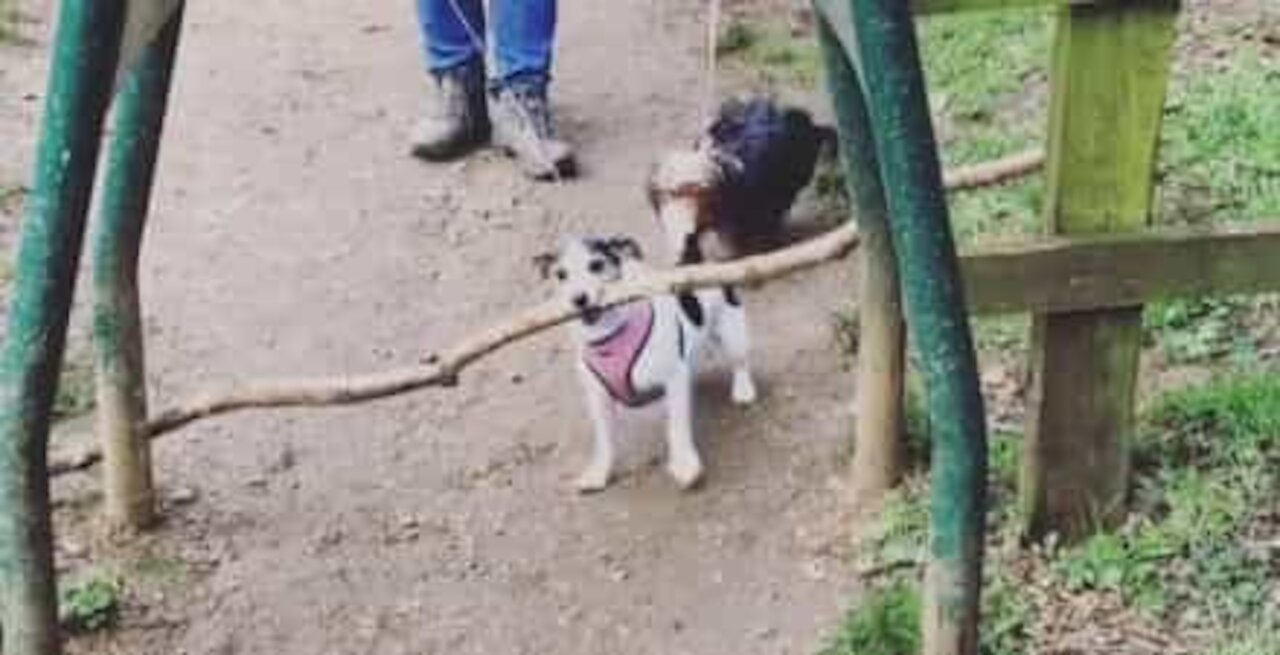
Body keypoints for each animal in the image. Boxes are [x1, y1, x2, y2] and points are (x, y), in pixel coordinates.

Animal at [535, 235, 752, 491]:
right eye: (560, 274)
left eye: (596, 265)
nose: (578, 299)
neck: (608, 336)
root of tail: (694, 260)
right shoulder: (598, 397)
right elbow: (604, 439)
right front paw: (599, 472)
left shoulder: (673, 379)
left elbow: (677, 427)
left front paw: (684, 464)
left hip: (733, 333)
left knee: (740, 363)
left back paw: (744, 390)